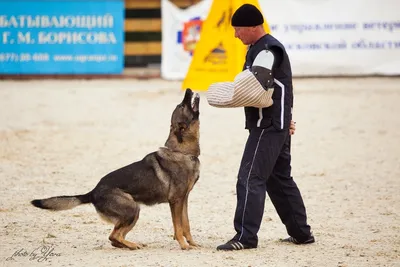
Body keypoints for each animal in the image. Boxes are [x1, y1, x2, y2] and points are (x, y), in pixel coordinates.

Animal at [30, 89, 200, 250]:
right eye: (182, 106)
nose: (188, 89)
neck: (181, 152)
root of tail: (93, 192)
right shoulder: (175, 201)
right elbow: (178, 227)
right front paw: (183, 245)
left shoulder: (183, 200)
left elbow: (186, 224)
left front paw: (192, 243)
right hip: (133, 209)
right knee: (113, 236)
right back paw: (132, 245)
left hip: (132, 212)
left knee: (115, 238)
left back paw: (131, 244)